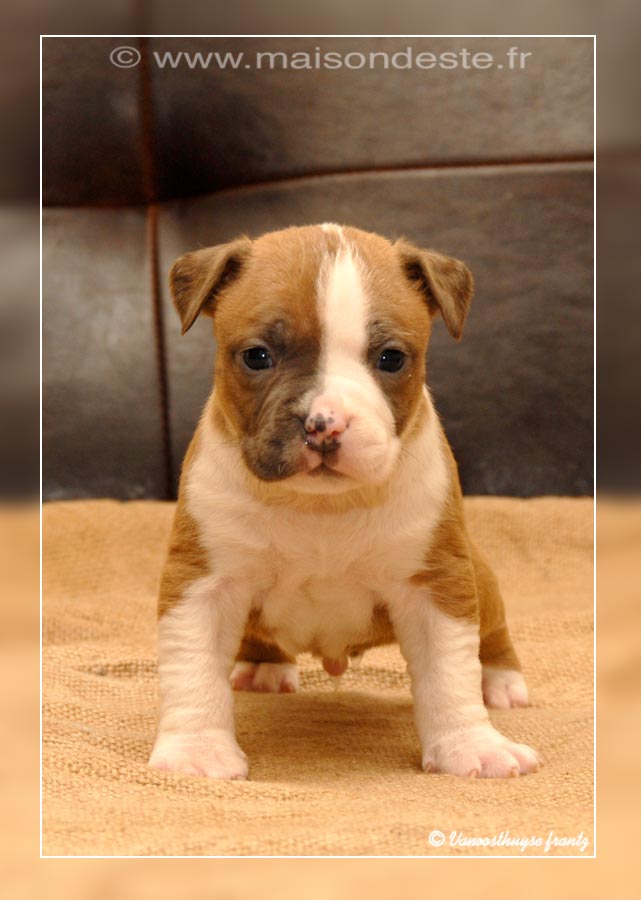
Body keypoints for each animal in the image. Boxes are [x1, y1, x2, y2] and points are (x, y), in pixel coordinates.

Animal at [148, 224, 539, 780]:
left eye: (391, 358)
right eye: (257, 356)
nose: (324, 424)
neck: (322, 510)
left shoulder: (436, 585)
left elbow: (449, 675)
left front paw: (472, 746)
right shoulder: (203, 584)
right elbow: (194, 670)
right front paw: (196, 752)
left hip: (479, 575)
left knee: (493, 632)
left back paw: (501, 681)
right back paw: (264, 665)